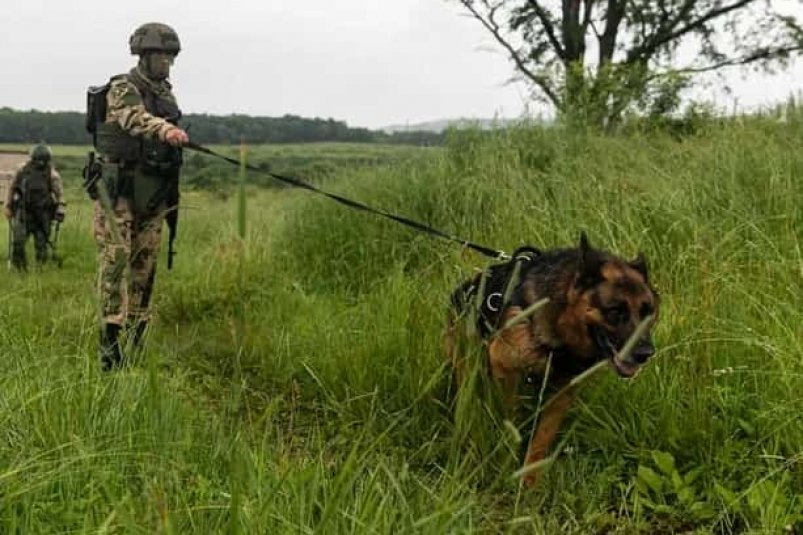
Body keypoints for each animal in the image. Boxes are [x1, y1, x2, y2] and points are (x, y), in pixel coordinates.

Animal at [446, 232, 660, 488]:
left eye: (648, 312)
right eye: (615, 312)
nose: (646, 353)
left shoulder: (562, 391)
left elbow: (541, 439)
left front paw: (529, 482)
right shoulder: (506, 369)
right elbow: (511, 420)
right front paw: (508, 458)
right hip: (466, 365)